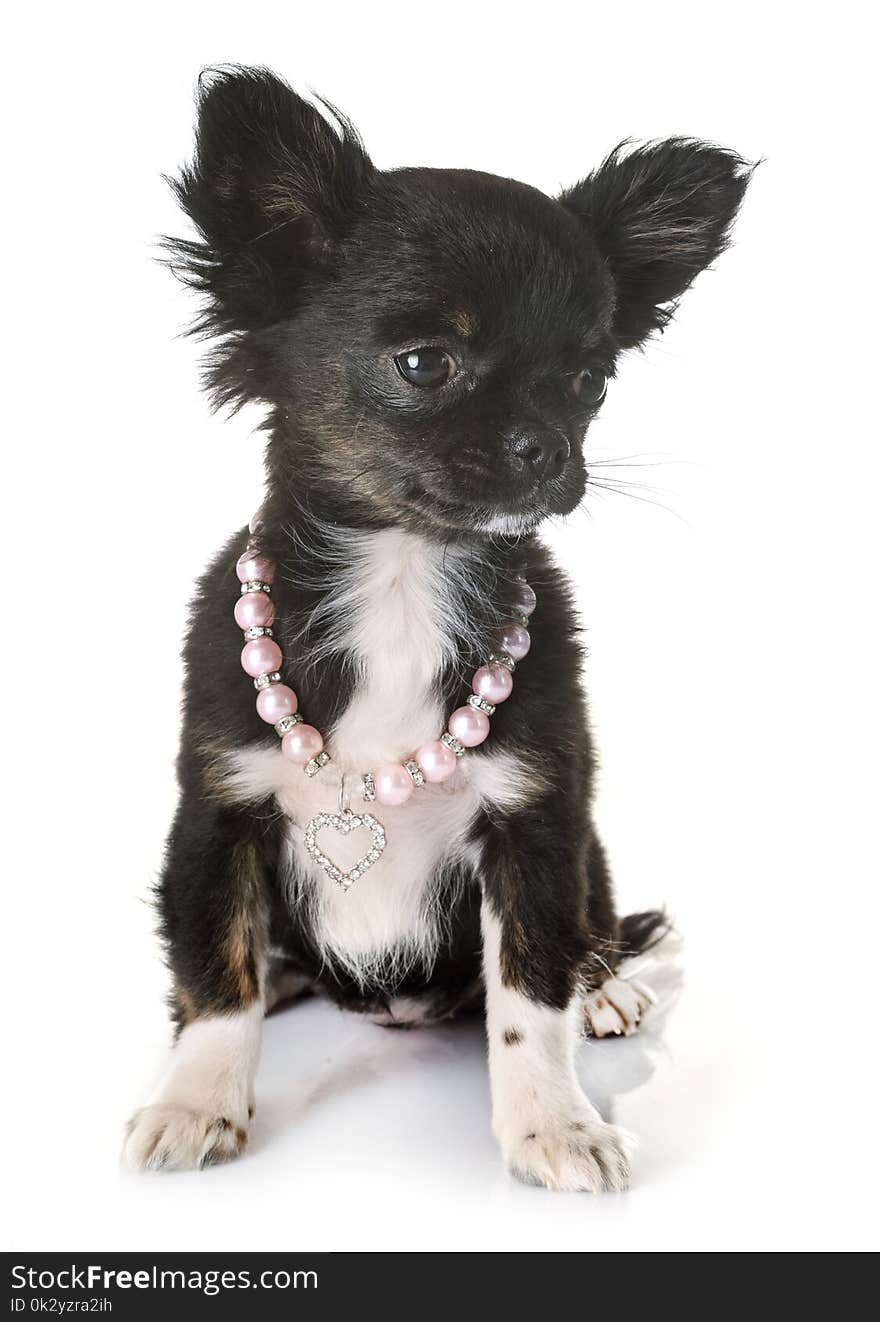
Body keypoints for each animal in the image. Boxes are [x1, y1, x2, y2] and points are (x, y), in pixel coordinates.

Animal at [123, 69, 745, 1189]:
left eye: (587, 382)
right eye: (424, 364)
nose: (547, 447)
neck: (407, 576)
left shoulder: (537, 821)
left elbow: (529, 991)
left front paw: (553, 1124)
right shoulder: (218, 812)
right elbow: (216, 973)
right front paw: (195, 1100)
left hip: (587, 850)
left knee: (589, 930)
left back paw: (605, 984)